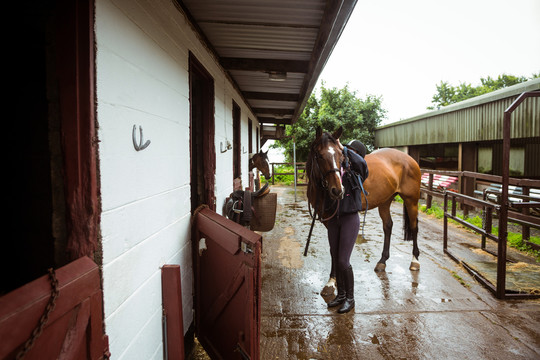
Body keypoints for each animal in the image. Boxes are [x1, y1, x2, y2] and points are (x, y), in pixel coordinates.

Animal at [308, 126, 422, 290]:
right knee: (388, 226)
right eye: (319, 155)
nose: (337, 190)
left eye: (341, 156)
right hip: (385, 201)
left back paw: (415, 261)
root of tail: (410, 159)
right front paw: (333, 279)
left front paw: (332, 280)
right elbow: (333, 249)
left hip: (411, 200)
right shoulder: (327, 220)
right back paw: (382, 261)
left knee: (414, 227)